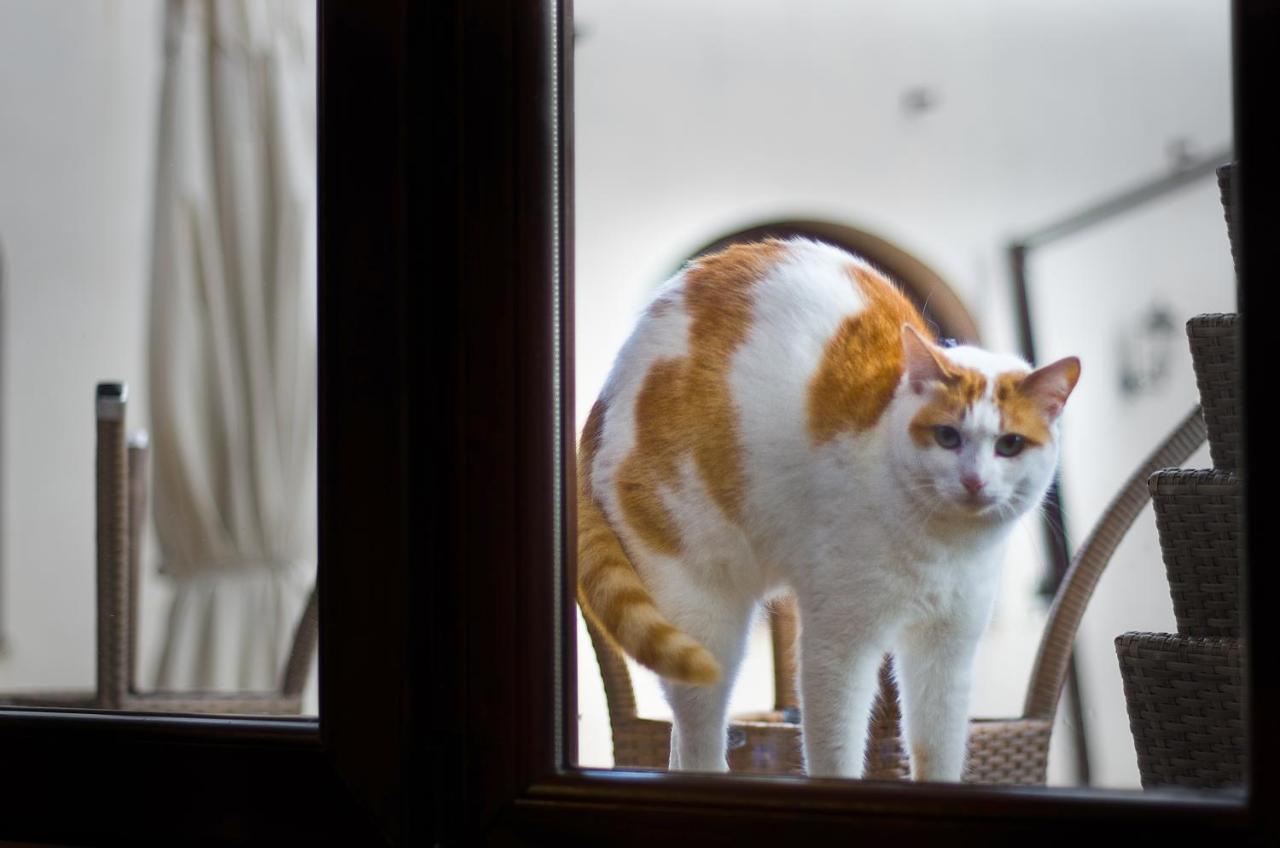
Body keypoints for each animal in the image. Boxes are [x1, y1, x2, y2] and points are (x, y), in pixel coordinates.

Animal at [581, 239, 1080, 783]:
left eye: (1010, 445)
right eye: (948, 436)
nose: (974, 481)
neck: (940, 545)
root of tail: (609, 387)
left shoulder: (947, 650)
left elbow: (938, 750)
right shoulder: (837, 647)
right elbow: (835, 753)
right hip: (704, 616)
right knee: (697, 737)